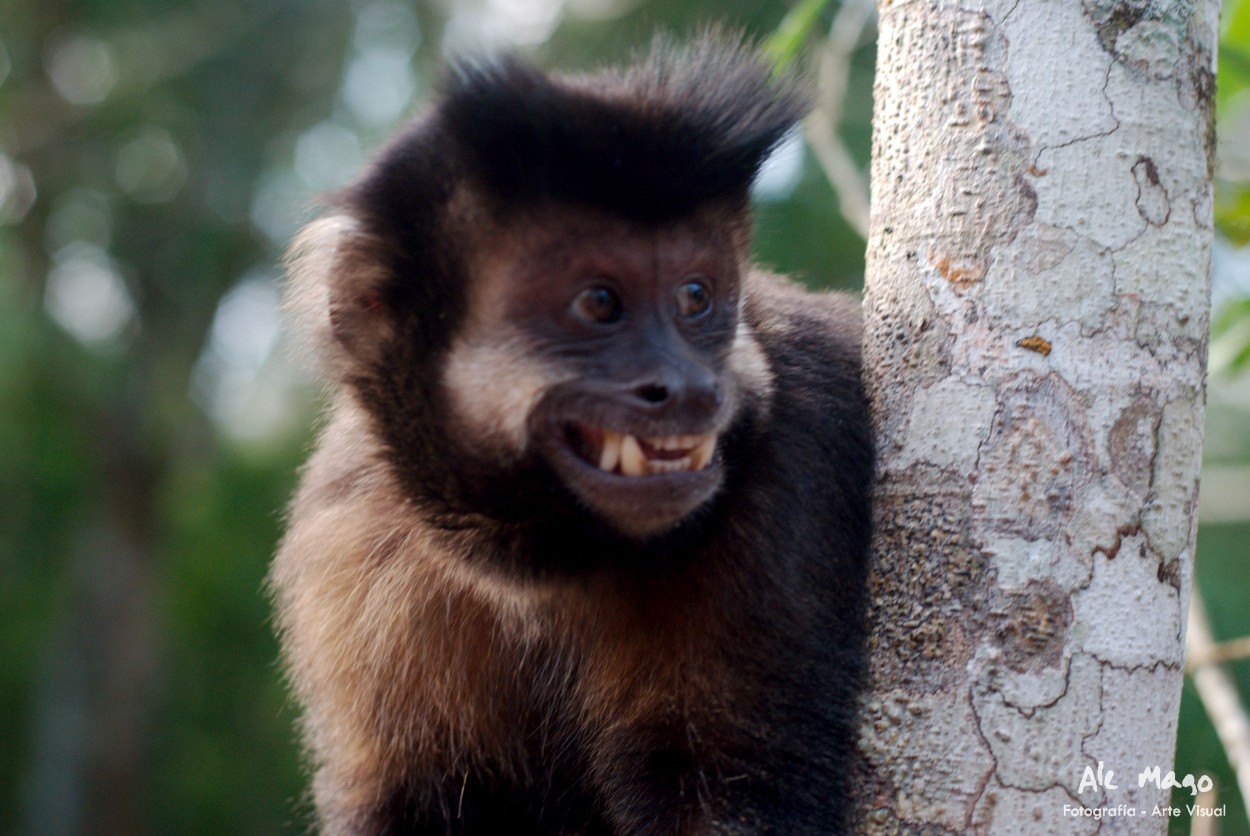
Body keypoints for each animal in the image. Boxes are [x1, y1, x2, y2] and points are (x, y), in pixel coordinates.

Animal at [272, 34, 875, 834]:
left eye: (695, 297)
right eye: (599, 304)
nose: (690, 387)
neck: (546, 559)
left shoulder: (798, 454)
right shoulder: (343, 531)